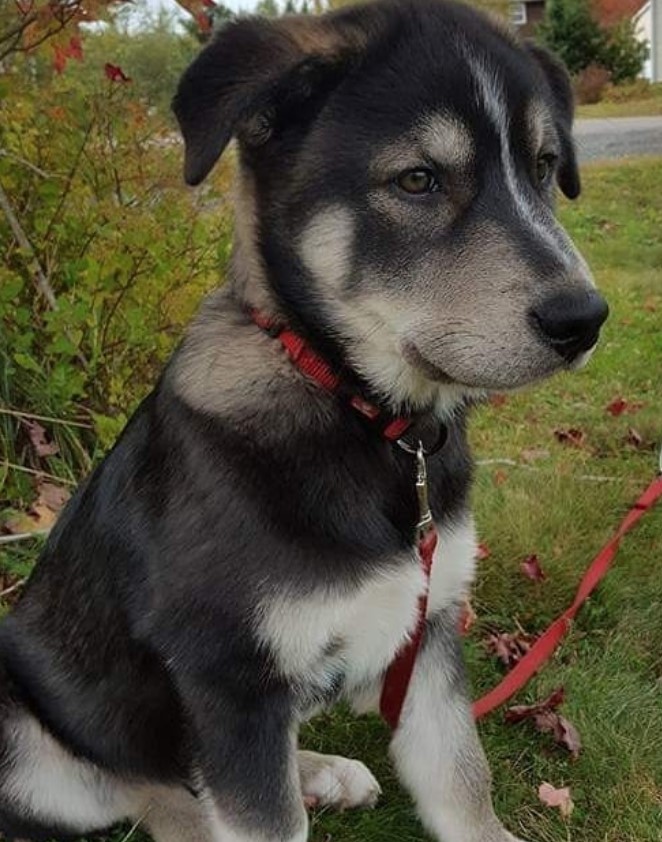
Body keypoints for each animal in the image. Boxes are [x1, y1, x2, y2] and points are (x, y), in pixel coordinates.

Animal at [0, 1, 608, 840]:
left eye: (546, 166)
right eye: (417, 179)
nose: (584, 320)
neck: (372, 422)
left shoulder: (428, 634)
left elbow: (462, 783)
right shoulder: (228, 677)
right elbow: (261, 813)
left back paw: (319, 772)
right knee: (142, 784)